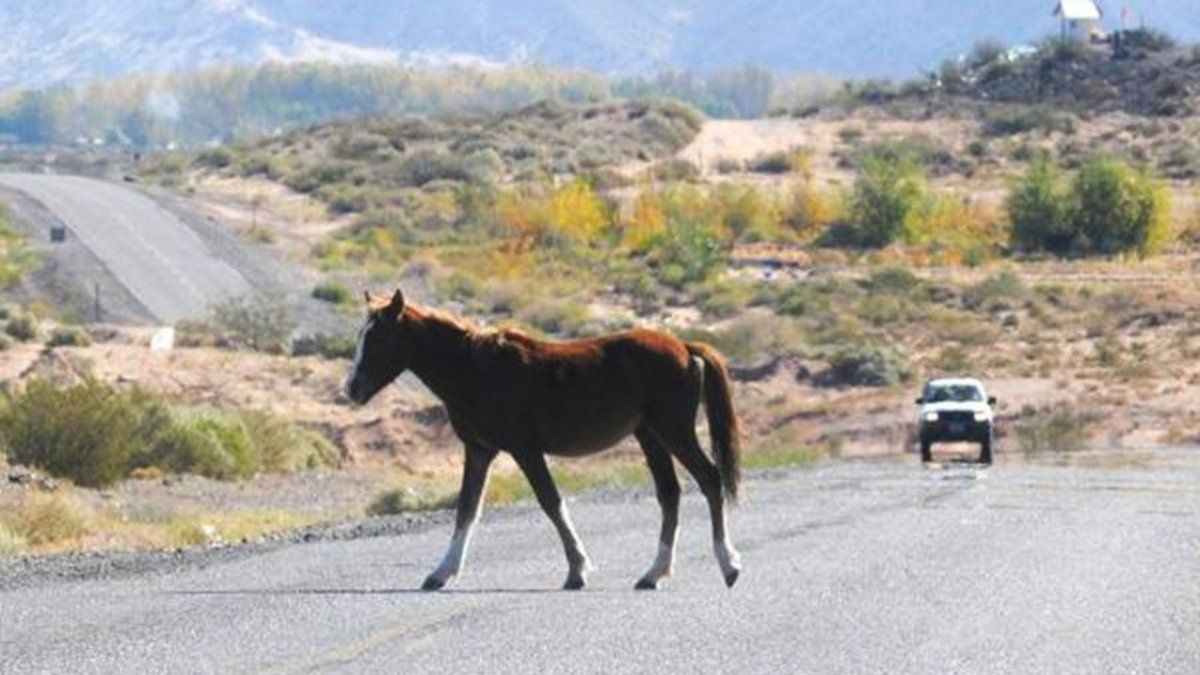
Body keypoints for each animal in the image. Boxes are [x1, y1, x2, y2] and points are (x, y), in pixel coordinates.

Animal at [345, 289, 739, 588]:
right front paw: (441, 573)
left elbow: (551, 502)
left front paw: (578, 570)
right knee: (670, 494)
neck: (475, 370)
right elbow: (467, 508)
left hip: (674, 431)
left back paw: (729, 565)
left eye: (378, 339)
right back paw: (654, 573)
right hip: (650, 436)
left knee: (709, 479)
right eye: (361, 335)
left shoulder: (525, 449)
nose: (351, 389)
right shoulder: (479, 450)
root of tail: (684, 347)